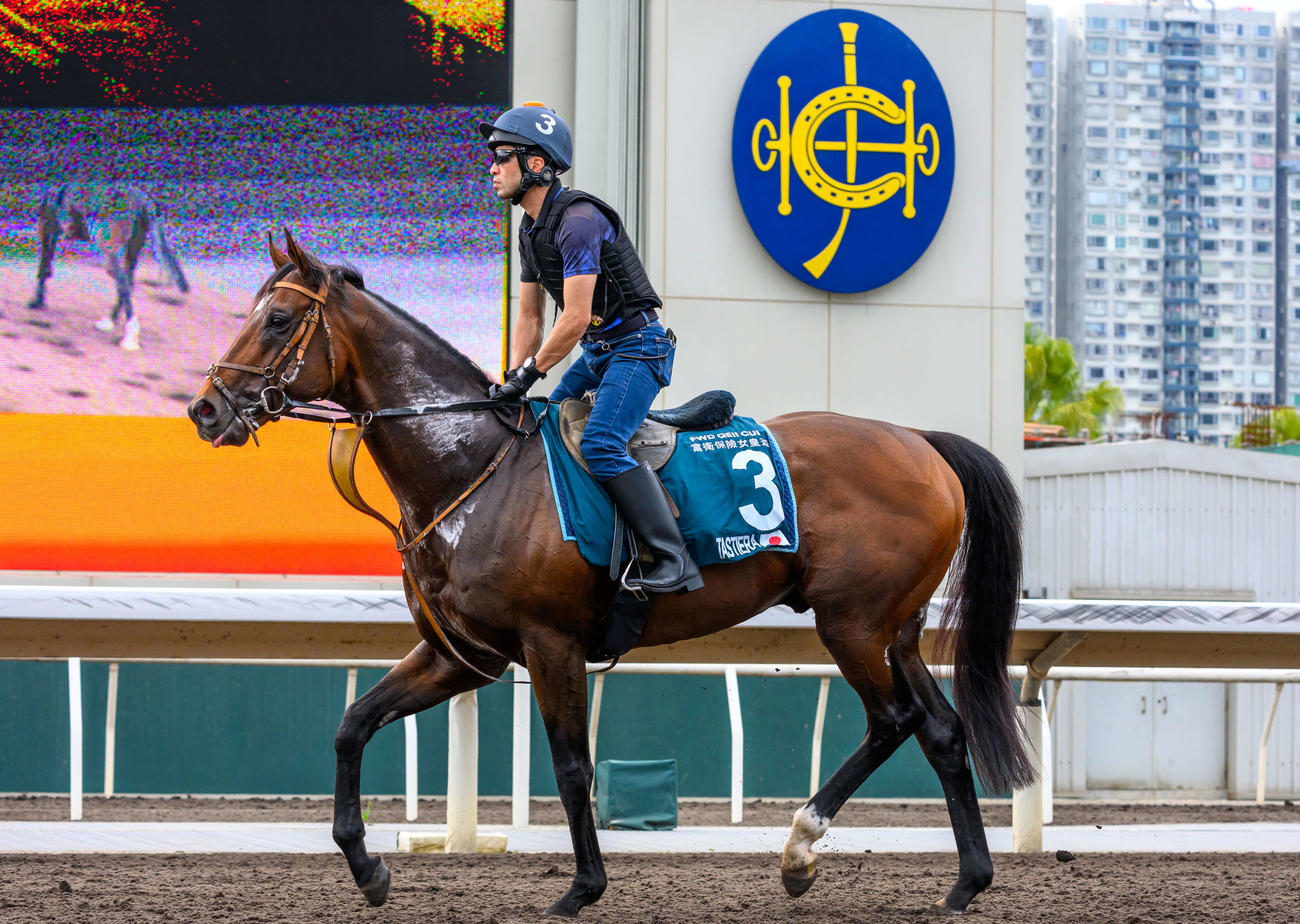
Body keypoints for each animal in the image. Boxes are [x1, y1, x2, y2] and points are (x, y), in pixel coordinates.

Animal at [29, 183, 189, 350]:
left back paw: (129, 337)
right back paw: (110, 321)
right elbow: (46, 262)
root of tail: (142, 200)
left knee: (123, 283)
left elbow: (43, 263)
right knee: (127, 282)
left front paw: (37, 301)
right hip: (132, 247)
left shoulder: (46, 224)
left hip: (107, 249)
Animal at [187, 232, 1033, 917]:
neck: (472, 467)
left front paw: (582, 889)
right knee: (942, 730)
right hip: (895, 630)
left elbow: (571, 765)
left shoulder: (550, 643)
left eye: (278, 319)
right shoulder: (462, 655)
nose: (206, 409)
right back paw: (966, 881)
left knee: (893, 721)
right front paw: (367, 869)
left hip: (851, 624)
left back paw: (799, 851)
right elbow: (353, 724)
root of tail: (922, 441)